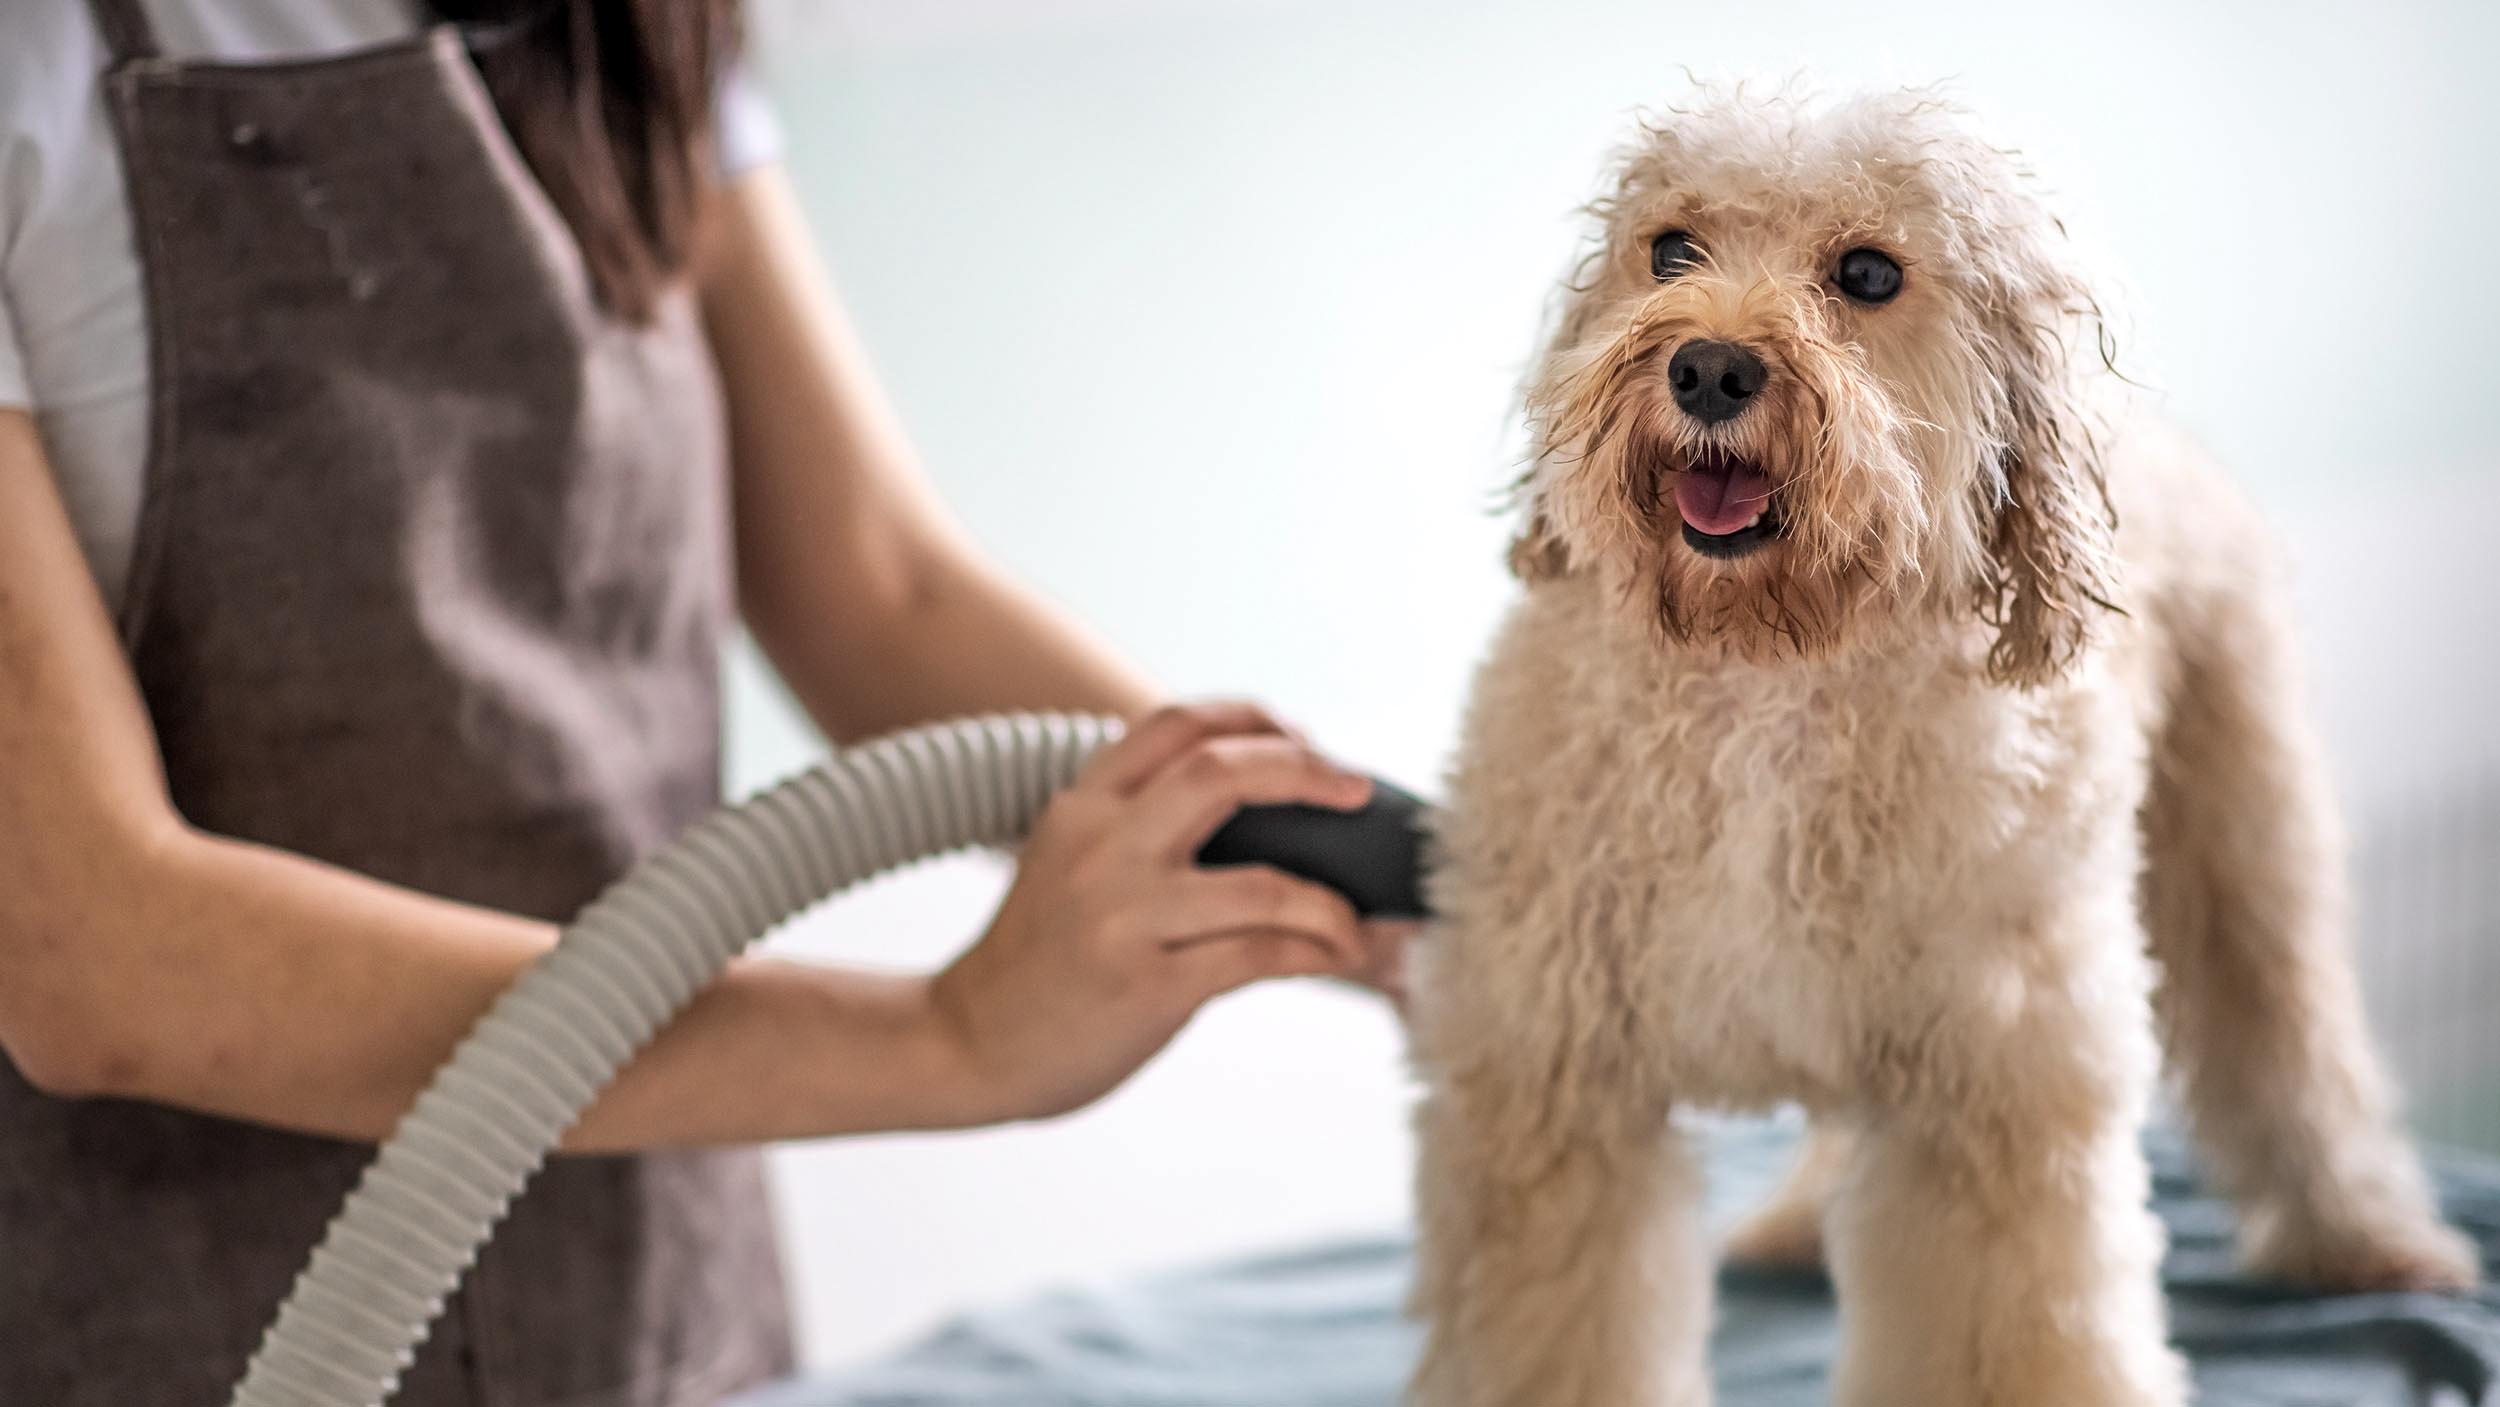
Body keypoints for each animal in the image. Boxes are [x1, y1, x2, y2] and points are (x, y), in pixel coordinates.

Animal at [1410, 85, 2480, 1407]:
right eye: (1669, 250)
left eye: (1868, 273)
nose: (1708, 365)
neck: (1767, 677)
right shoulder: (1556, 1086)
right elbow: (1556, 1333)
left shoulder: (1993, 1089)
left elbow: (2012, 1333)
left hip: (2246, 850)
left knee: (2293, 1055)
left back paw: (2367, 1239)